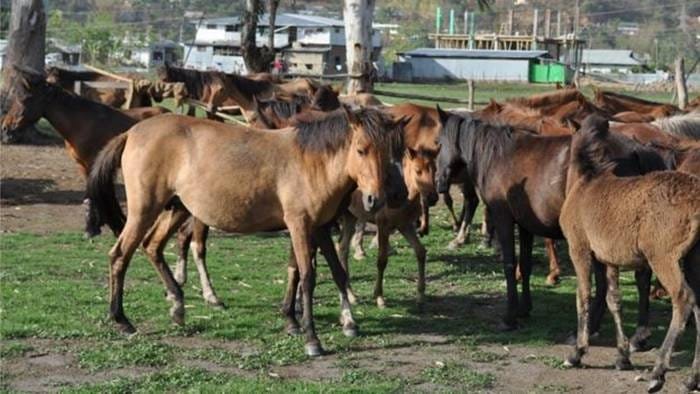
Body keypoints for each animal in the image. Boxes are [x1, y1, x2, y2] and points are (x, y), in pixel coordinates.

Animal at [560, 114, 700, 394]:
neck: (586, 181)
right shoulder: (609, 260)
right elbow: (614, 300)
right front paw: (622, 356)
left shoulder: (579, 249)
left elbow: (583, 295)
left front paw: (577, 352)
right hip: (693, 259)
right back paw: (692, 378)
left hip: (664, 259)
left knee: (684, 299)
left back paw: (658, 373)